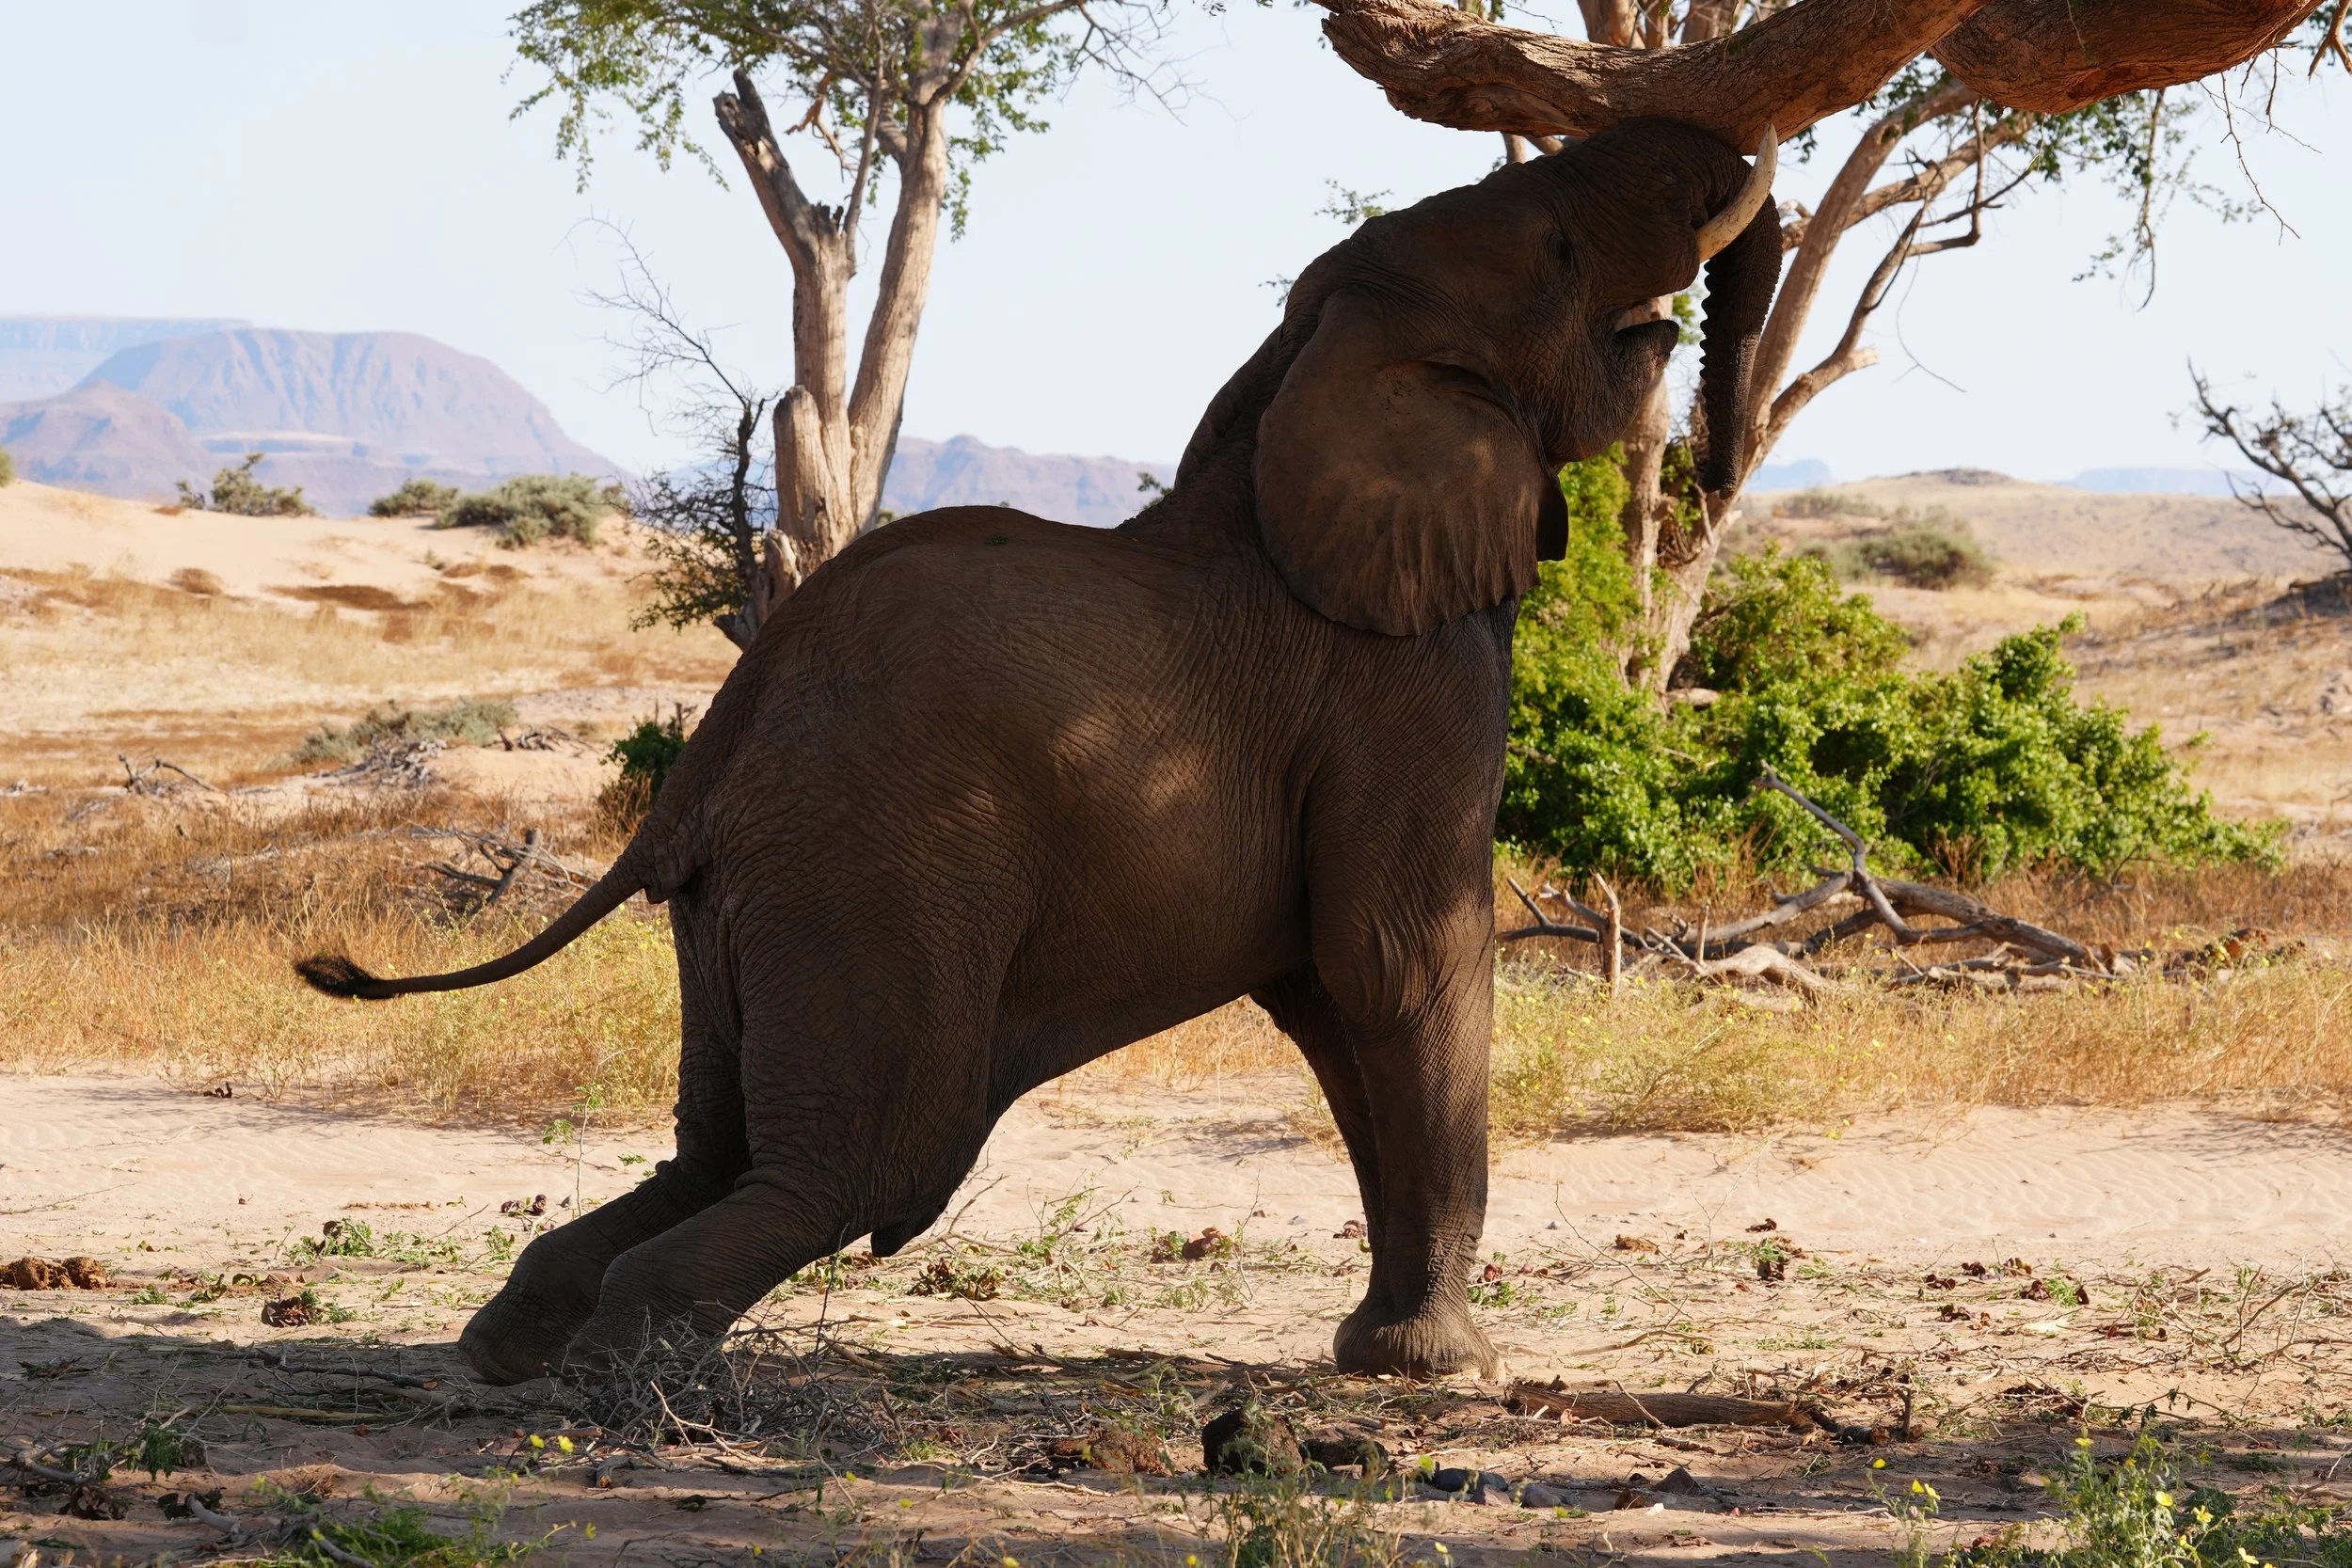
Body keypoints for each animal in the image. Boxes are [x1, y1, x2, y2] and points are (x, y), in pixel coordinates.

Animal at [297, 117, 1781, 1386]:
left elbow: (1326, 991)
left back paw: (514, 1343)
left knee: (719, 1149)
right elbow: (1391, 957)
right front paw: (1445, 1368)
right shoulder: (1404, 679)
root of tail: (708, 764)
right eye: (1561, 253)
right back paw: (637, 1366)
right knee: (860, 1160)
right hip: (873, 875)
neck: (1307, 361)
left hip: (750, 899)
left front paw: (1386, 1353)